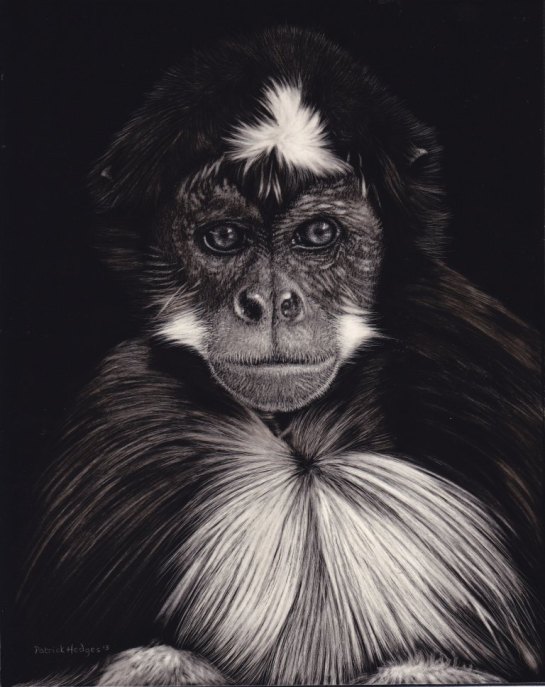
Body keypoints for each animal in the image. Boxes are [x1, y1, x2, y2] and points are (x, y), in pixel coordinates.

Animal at [11, 26, 542, 686]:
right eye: (222, 238)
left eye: (318, 235)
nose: (269, 302)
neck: (303, 452)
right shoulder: (125, 407)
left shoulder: (471, 361)